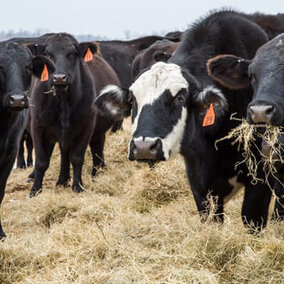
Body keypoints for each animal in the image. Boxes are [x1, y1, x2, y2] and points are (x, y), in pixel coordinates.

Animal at [26, 32, 120, 197]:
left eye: (71, 54)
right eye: (48, 54)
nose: (59, 77)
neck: (63, 101)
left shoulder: (85, 128)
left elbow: (77, 158)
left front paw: (78, 186)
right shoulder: (38, 128)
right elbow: (42, 161)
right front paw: (35, 190)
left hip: (97, 132)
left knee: (96, 149)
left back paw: (96, 174)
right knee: (64, 153)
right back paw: (62, 180)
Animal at [93, 10, 270, 233]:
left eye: (179, 98)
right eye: (133, 100)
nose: (144, 146)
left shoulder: (260, 177)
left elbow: (252, 219)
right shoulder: (198, 180)